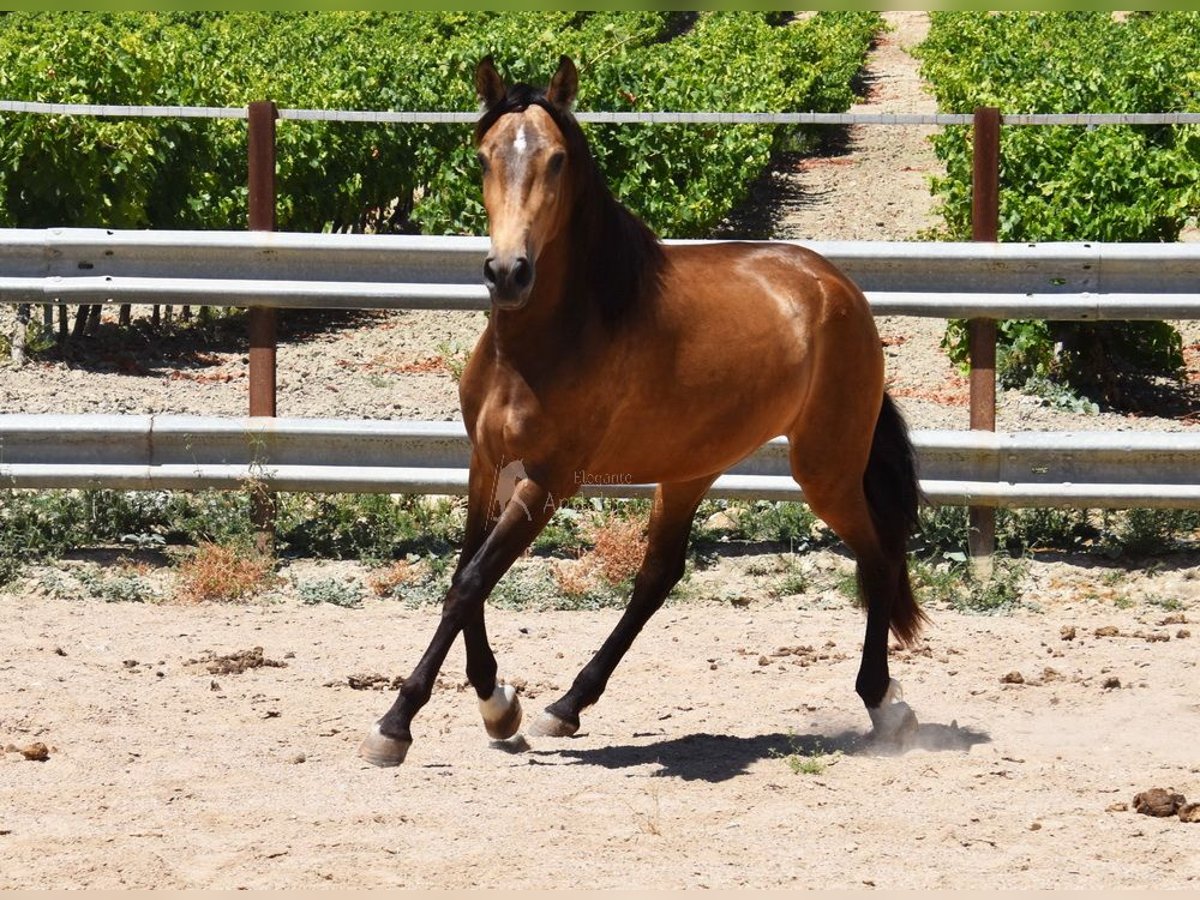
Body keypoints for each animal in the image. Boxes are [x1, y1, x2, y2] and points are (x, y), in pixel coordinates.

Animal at [360, 52, 921, 763]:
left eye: (557, 160)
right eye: (484, 157)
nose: (508, 274)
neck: (545, 344)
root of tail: (838, 286)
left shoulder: (550, 479)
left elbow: (469, 583)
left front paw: (395, 724)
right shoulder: (486, 462)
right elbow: (469, 574)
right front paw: (498, 705)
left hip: (825, 468)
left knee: (879, 555)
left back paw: (882, 703)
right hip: (691, 470)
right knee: (659, 576)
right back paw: (566, 706)